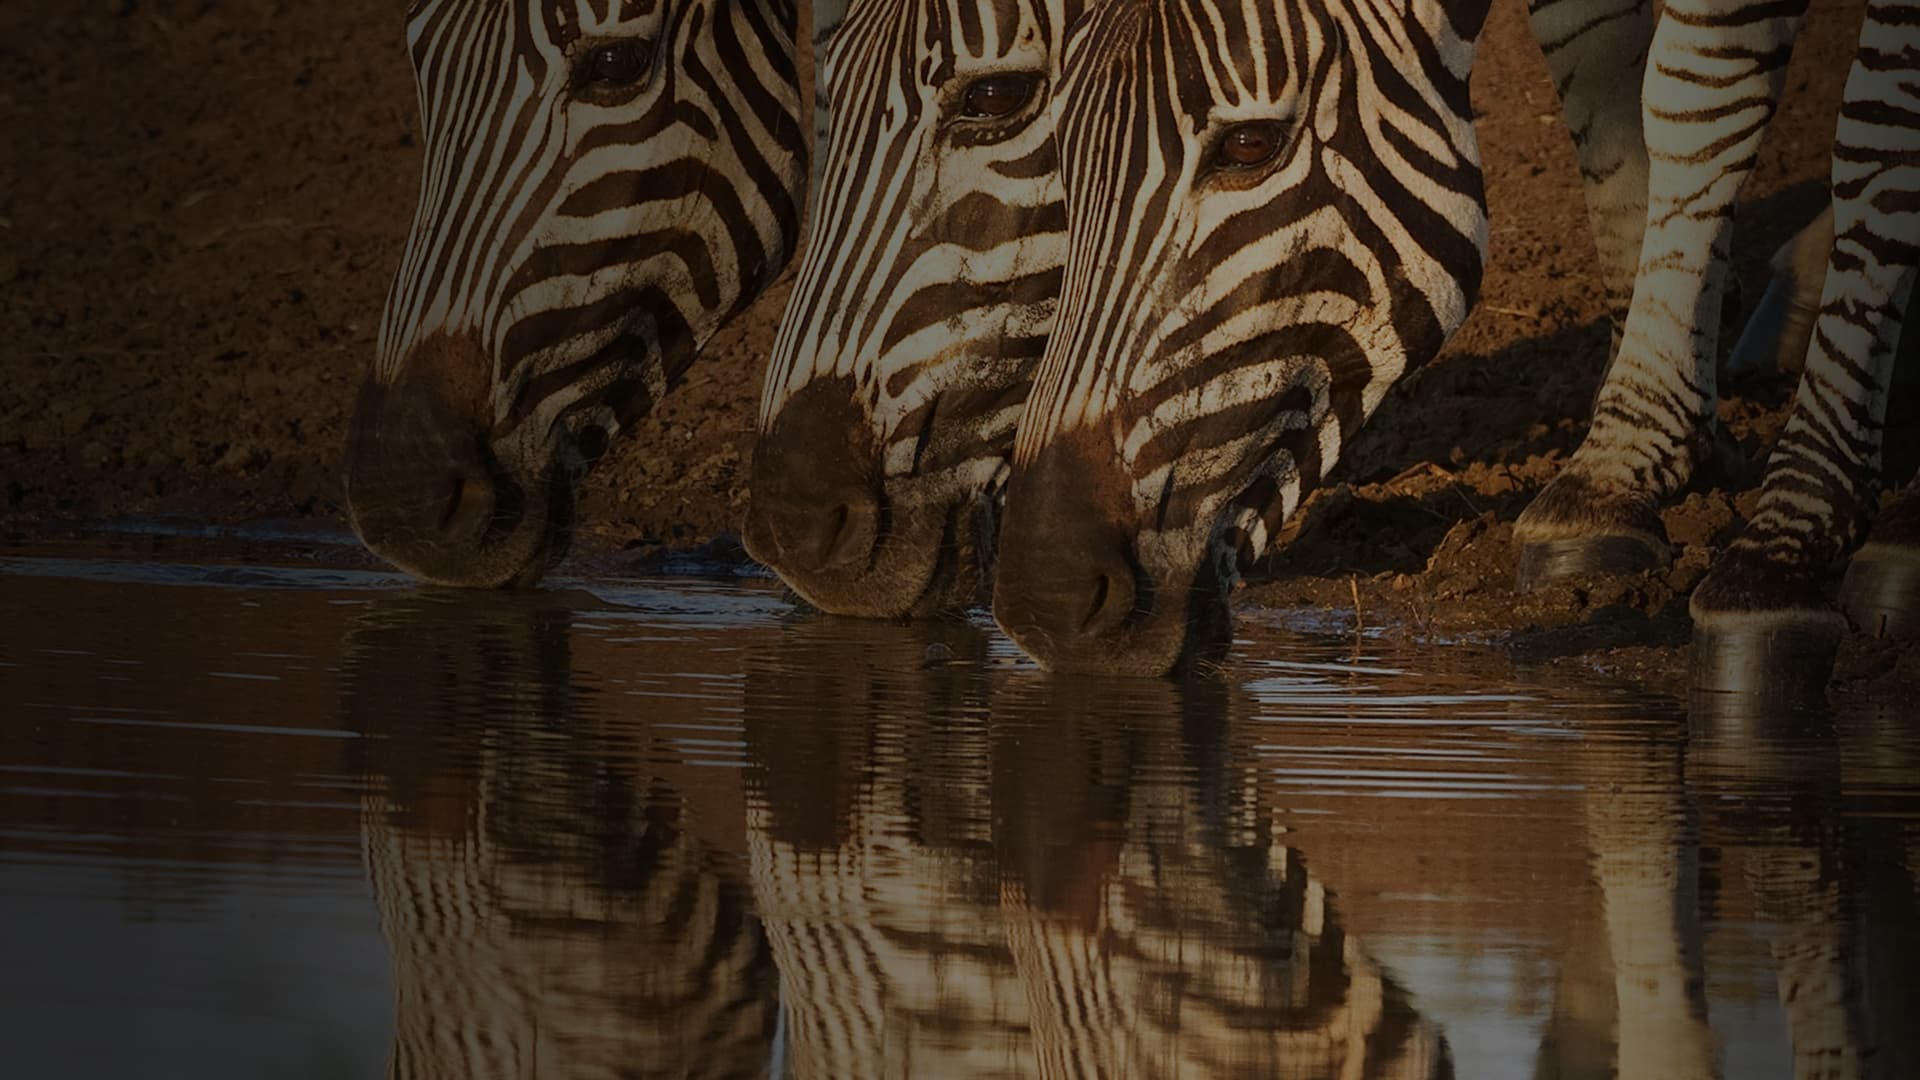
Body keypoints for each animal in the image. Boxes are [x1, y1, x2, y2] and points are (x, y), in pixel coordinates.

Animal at [990, 0, 1918, 690]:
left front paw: (1788, 540)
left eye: (1250, 145)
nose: (1045, 596)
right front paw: (1625, 469)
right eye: (1060, 152)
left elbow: (1862, 134)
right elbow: (1650, 91)